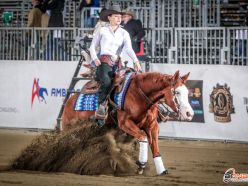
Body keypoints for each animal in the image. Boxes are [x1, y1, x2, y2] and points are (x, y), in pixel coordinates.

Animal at [61, 70, 194, 175]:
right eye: (177, 92)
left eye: (187, 92)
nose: (190, 113)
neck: (139, 95)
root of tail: (68, 103)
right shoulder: (125, 123)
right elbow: (143, 137)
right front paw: (141, 164)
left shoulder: (152, 126)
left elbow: (155, 147)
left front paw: (161, 170)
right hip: (70, 130)